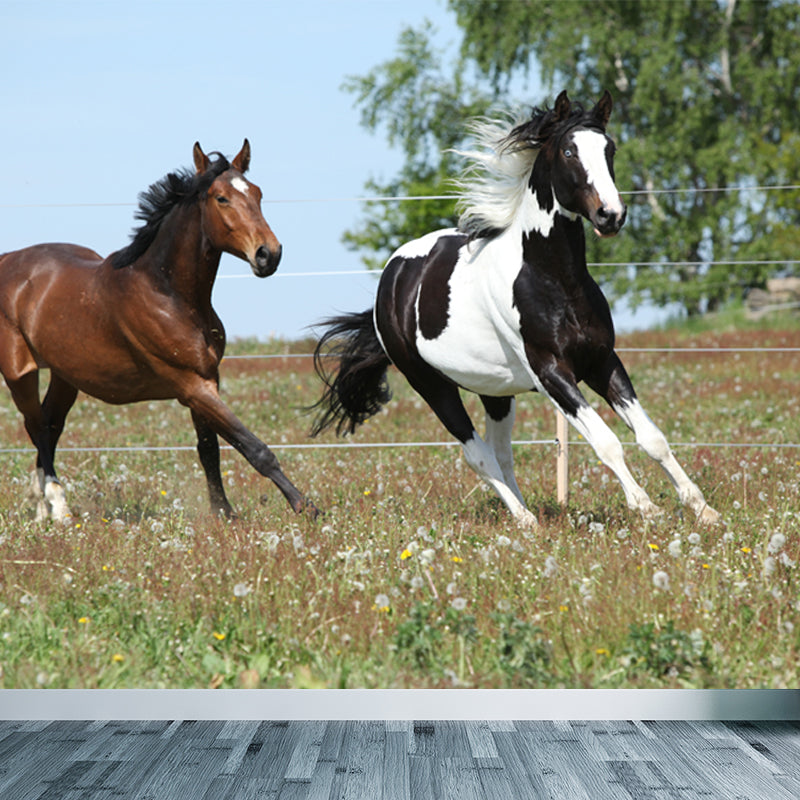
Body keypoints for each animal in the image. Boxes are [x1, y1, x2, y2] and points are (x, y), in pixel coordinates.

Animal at [0, 141, 318, 520]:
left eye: (257, 193)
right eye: (221, 198)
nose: (269, 254)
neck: (169, 294)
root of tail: (6, 261)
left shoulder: (207, 378)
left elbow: (209, 449)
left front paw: (223, 514)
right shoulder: (190, 385)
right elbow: (253, 447)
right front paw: (305, 507)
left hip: (66, 375)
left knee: (49, 425)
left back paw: (42, 508)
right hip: (19, 372)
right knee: (35, 425)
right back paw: (58, 505)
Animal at [310, 90, 720, 528]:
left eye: (609, 148)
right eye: (569, 150)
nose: (611, 215)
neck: (554, 280)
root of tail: (392, 277)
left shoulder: (602, 361)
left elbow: (651, 437)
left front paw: (702, 508)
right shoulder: (552, 374)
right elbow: (606, 442)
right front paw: (646, 507)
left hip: (495, 391)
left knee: (500, 452)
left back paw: (528, 517)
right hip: (431, 385)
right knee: (477, 454)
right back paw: (524, 520)